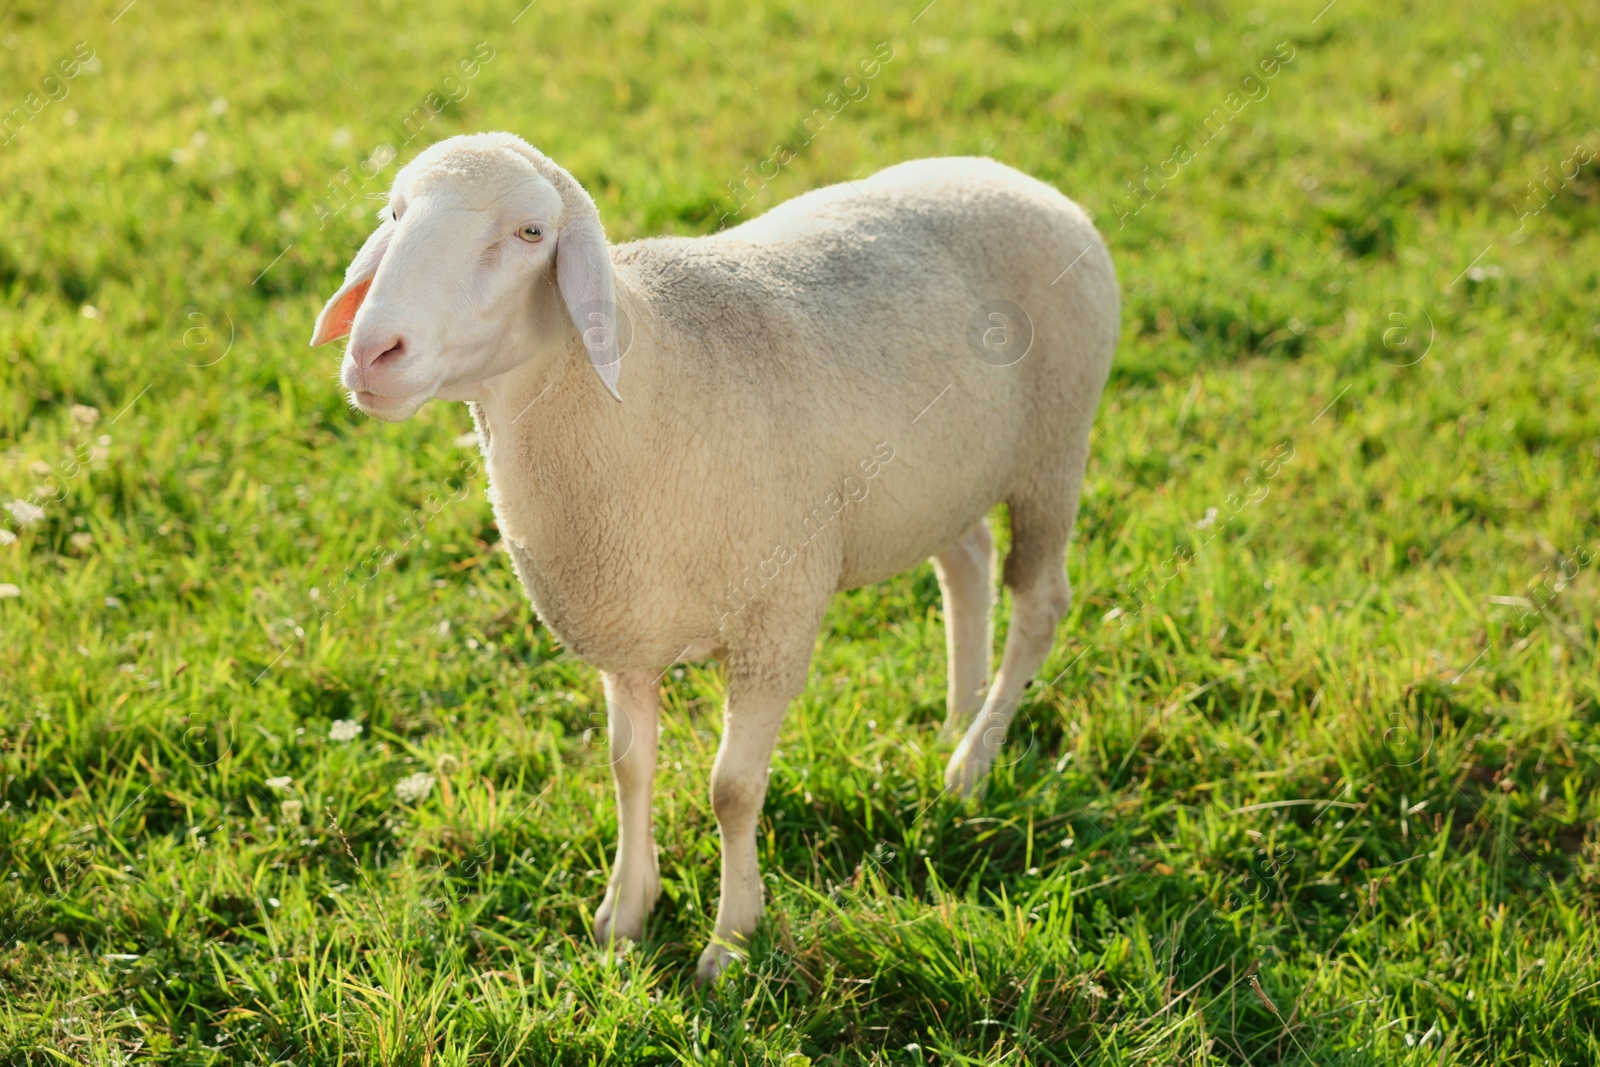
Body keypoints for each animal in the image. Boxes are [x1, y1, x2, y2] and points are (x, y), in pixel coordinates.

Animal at [308, 129, 1113, 979]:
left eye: (531, 232)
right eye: (395, 213)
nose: (373, 351)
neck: (640, 390)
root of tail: (1010, 175)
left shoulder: (777, 620)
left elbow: (732, 788)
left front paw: (731, 941)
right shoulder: (625, 626)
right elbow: (629, 767)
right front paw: (626, 913)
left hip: (1053, 450)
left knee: (1040, 603)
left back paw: (974, 759)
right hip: (941, 476)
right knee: (967, 563)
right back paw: (955, 717)